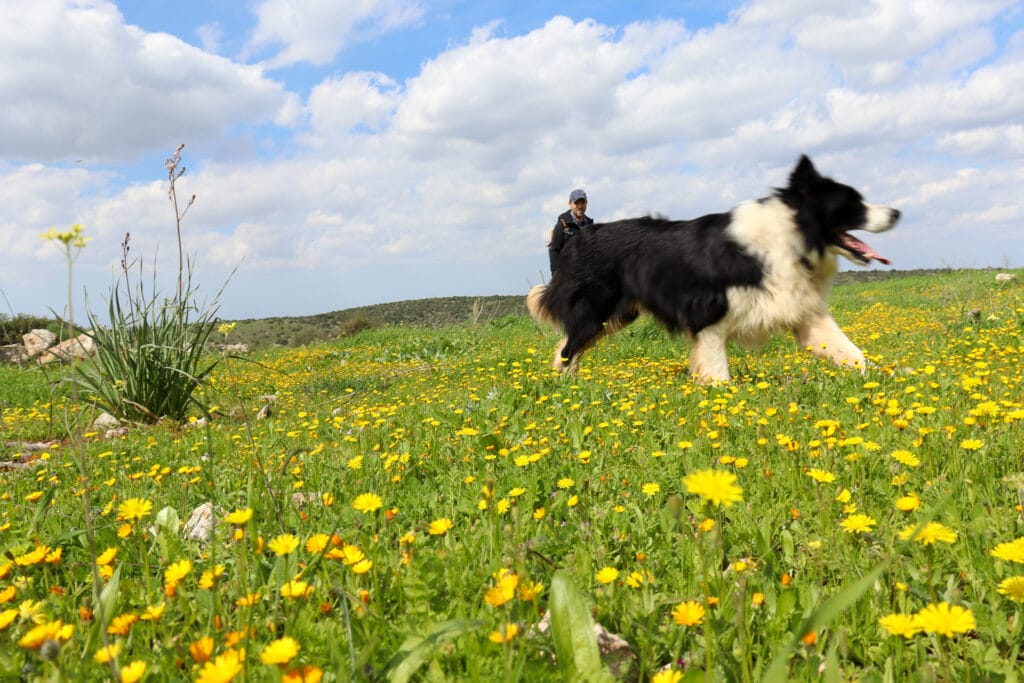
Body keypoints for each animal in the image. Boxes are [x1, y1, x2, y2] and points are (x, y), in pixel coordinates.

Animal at [532, 156, 901, 385]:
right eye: (853, 203)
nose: (897, 213)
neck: (790, 236)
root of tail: (577, 239)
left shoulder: (804, 313)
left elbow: (851, 352)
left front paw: (893, 379)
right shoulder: (707, 314)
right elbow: (717, 373)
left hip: (617, 313)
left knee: (568, 345)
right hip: (598, 307)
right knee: (570, 346)